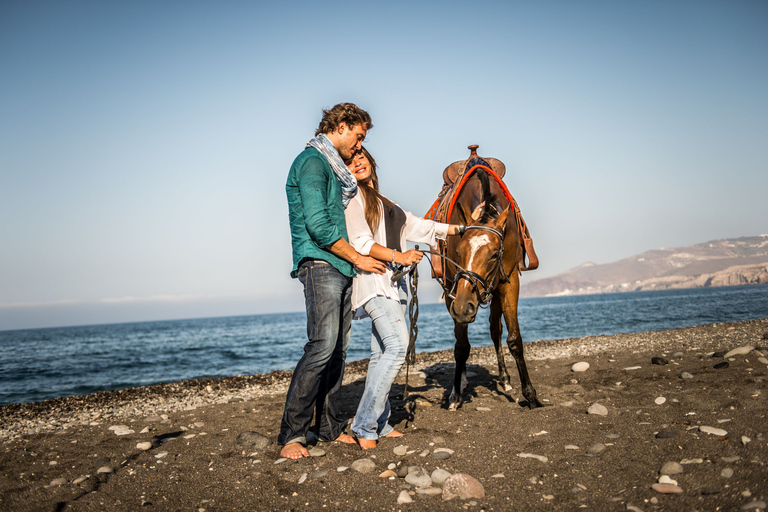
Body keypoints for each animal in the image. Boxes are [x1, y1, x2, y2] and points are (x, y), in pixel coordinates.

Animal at [424, 145, 544, 412]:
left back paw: (505, 379)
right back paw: (462, 382)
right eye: (458, 252)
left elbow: (514, 339)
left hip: (494, 290)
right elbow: (461, 346)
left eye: (493, 254)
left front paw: (530, 394)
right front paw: (455, 395)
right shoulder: (453, 289)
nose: (464, 306)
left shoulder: (509, 282)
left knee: (495, 330)